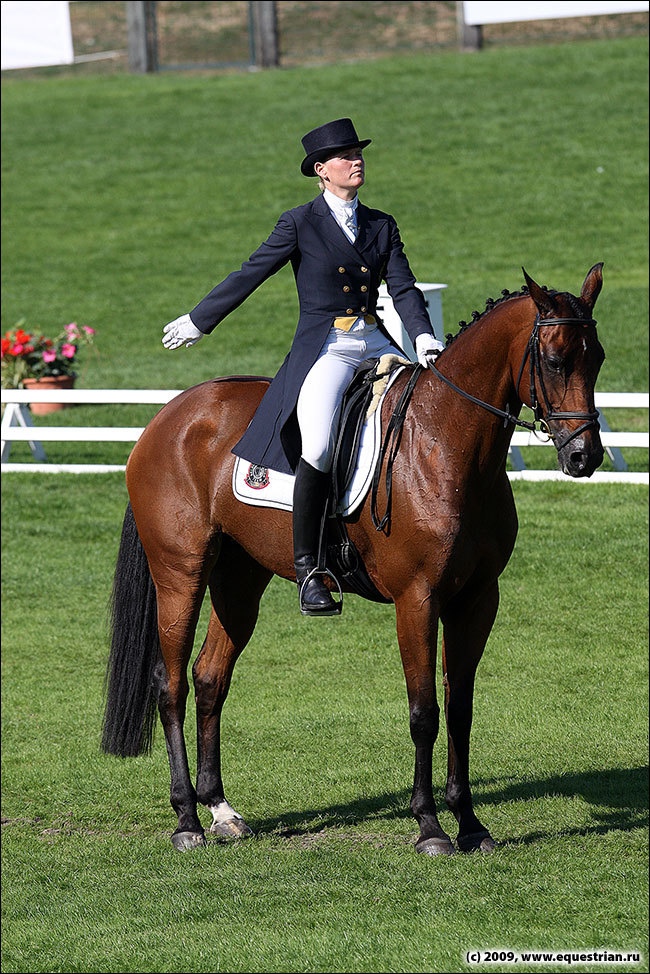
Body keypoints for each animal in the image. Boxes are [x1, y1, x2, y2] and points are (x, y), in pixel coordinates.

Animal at [100, 264, 604, 856]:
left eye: (597, 358)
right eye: (555, 360)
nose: (584, 456)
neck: (445, 444)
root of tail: (169, 415)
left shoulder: (477, 599)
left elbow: (460, 707)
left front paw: (471, 823)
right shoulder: (418, 599)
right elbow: (424, 711)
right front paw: (430, 827)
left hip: (239, 579)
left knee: (209, 677)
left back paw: (221, 810)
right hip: (181, 572)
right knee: (171, 682)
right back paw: (186, 820)